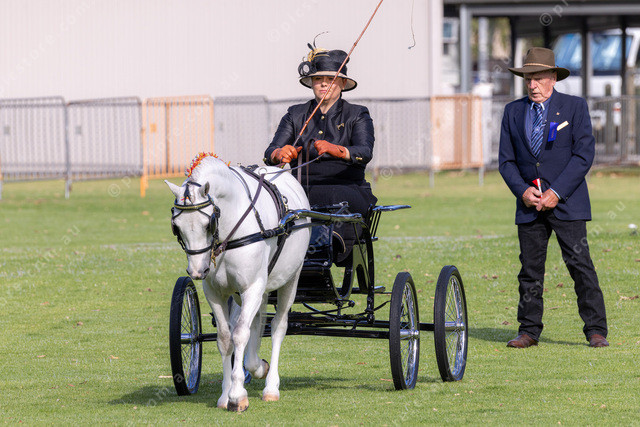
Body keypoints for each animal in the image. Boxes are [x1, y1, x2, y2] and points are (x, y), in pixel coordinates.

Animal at [166, 154, 310, 411]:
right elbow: (226, 337)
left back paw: (271, 386)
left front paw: (236, 395)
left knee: (278, 327)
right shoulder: (215, 292)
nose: (197, 271)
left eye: (208, 225)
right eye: (177, 227)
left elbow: (240, 333)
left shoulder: (252, 286)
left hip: (290, 278)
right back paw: (257, 367)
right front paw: (226, 394)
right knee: (257, 321)